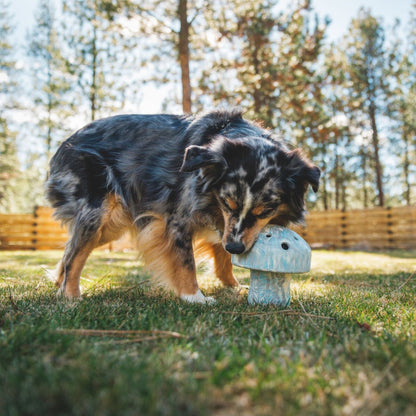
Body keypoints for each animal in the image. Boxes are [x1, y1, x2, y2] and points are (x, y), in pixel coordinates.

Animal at [45, 109, 320, 304]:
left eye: (266, 211)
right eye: (227, 202)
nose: (236, 247)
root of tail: (63, 145)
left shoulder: (225, 225)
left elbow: (223, 256)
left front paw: (234, 287)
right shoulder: (177, 219)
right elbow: (186, 261)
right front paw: (194, 297)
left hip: (111, 226)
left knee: (70, 249)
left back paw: (60, 284)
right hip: (99, 211)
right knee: (75, 254)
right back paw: (70, 295)